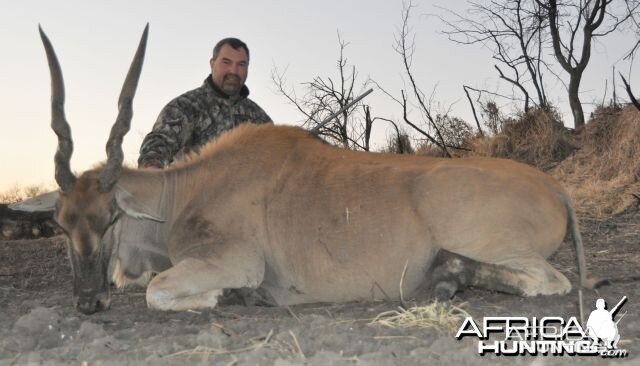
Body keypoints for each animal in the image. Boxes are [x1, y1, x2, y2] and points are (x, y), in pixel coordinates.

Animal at [12, 25, 592, 314]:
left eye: (110, 218)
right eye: (62, 223)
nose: (87, 302)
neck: (185, 193)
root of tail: (556, 189)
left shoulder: (235, 259)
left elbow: (159, 291)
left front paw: (234, 296)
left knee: (549, 281)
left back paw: (448, 277)